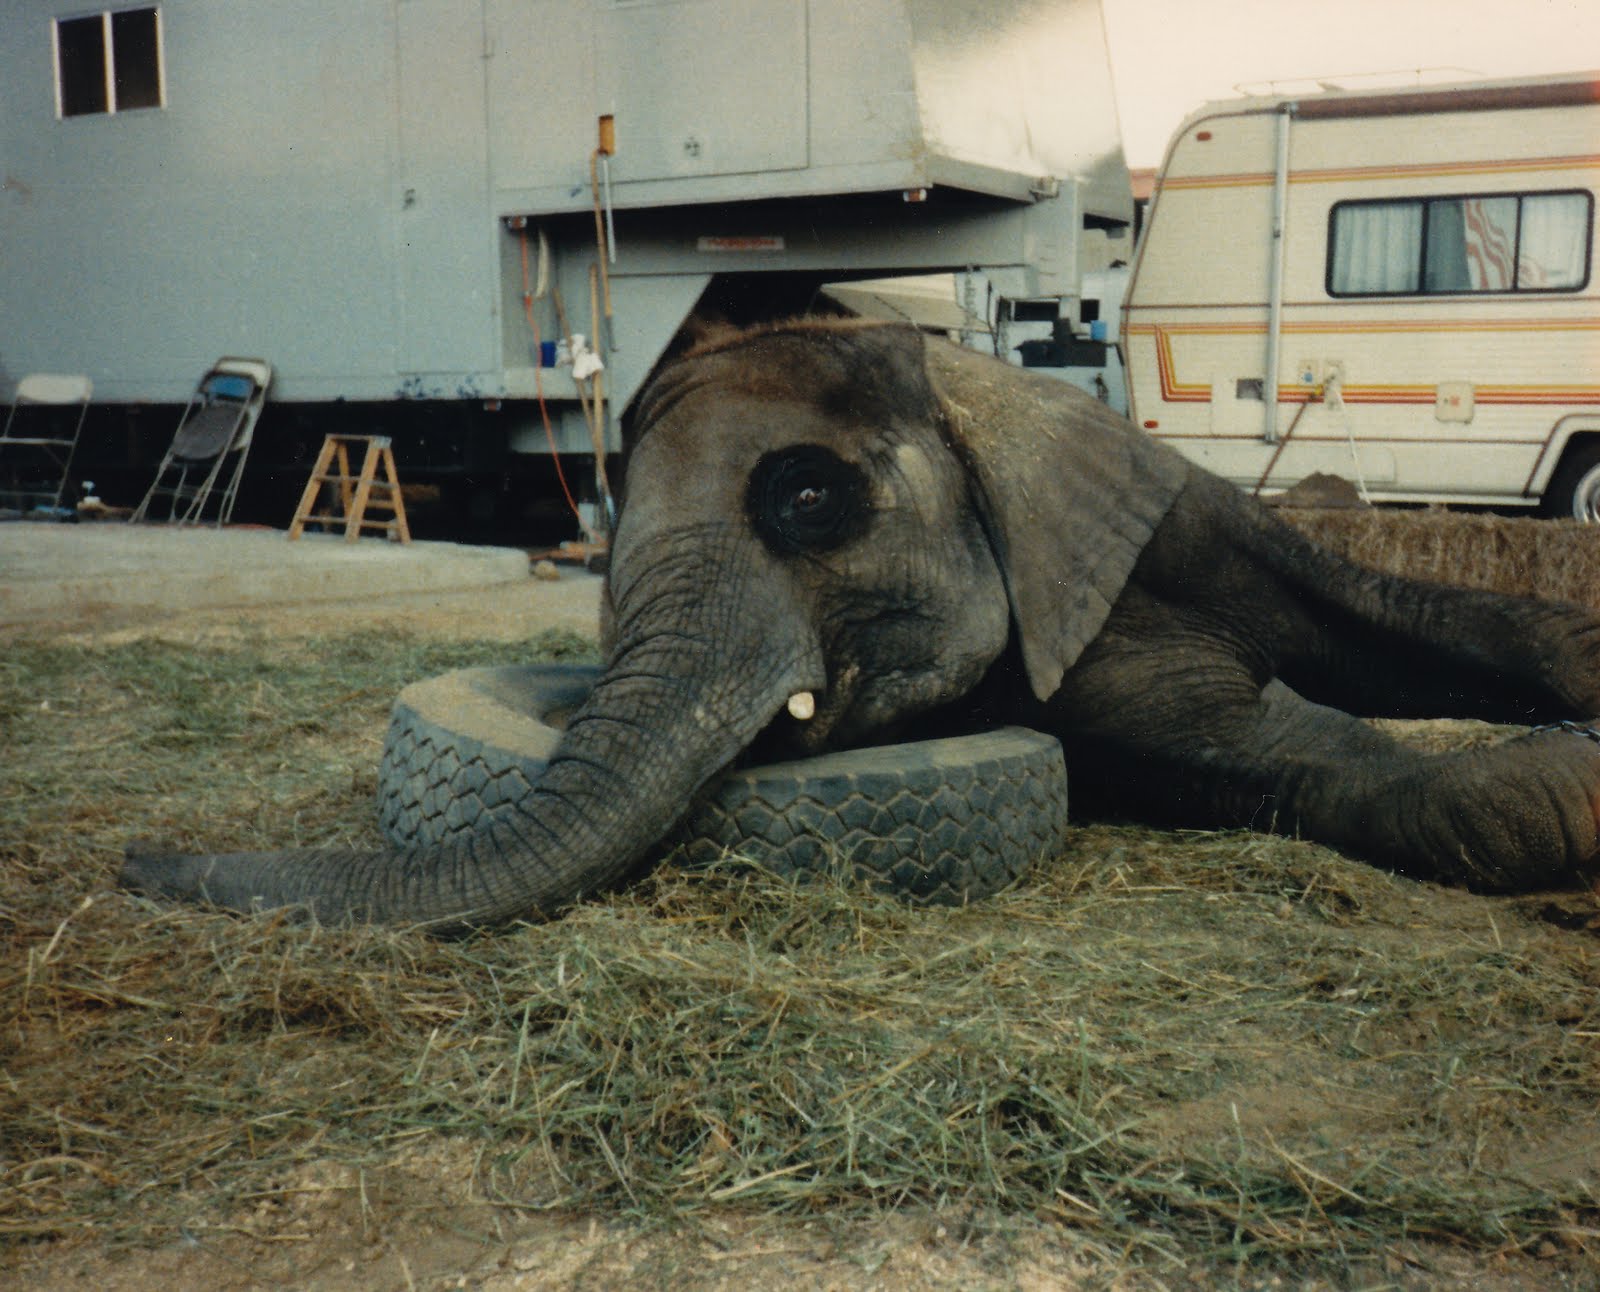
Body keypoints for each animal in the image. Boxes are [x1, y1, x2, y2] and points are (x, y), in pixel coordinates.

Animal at [122, 318, 1600, 932]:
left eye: (807, 496)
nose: (135, 864)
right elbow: (1268, 750)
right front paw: (1571, 783)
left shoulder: (1138, 515)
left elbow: (1370, 644)